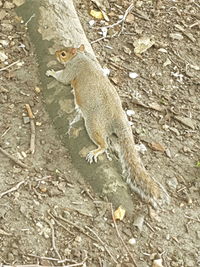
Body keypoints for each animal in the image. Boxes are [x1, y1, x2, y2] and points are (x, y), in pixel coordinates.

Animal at [46, 44, 170, 209]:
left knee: (103, 144)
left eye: (63, 53)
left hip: (93, 125)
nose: (55, 53)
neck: (81, 56)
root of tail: (118, 118)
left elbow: (63, 78)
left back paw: (96, 151)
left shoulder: (72, 69)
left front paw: (52, 72)